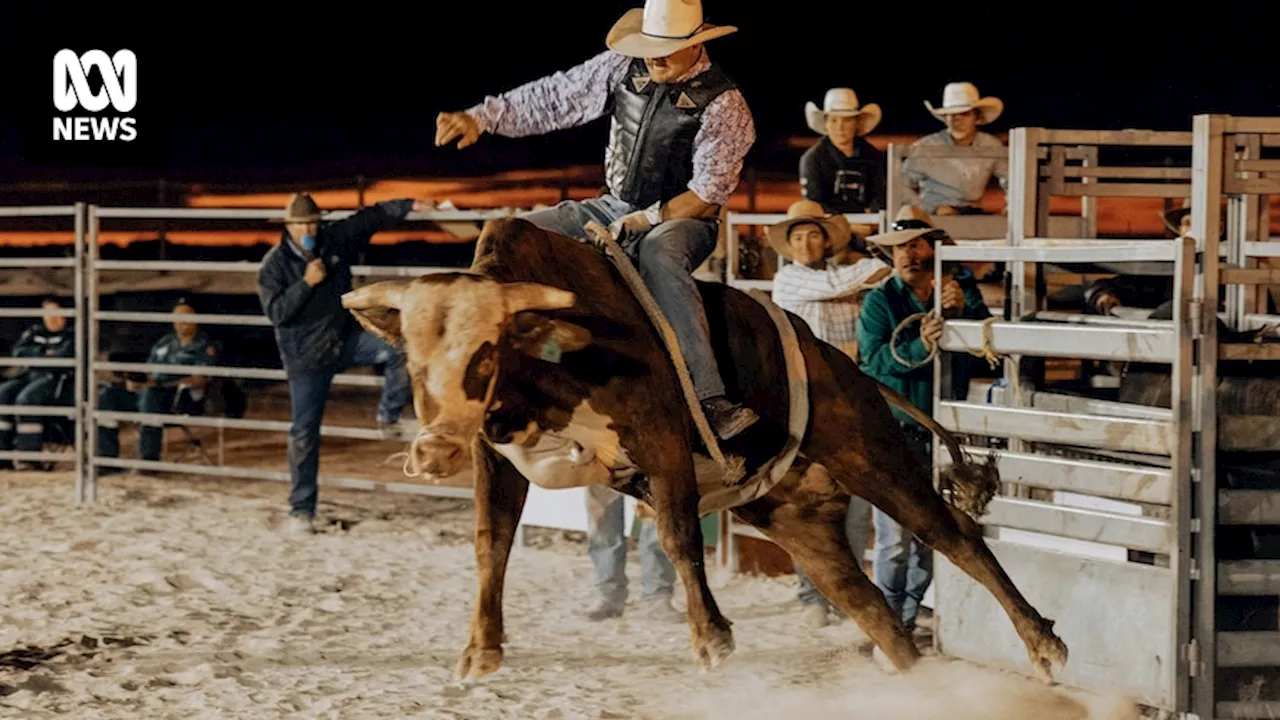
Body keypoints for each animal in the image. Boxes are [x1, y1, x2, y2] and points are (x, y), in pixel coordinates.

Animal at [335, 217, 1064, 676]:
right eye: (411, 355)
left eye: (484, 352)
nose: (432, 451)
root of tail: (848, 364)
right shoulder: (497, 451)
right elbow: (492, 541)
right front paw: (480, 650)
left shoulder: (660, 439)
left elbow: (679, 535)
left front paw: (712, 637)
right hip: (795, 516)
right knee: (867, 606)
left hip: (869, 451)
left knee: (955, 538)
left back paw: (1044, 646)